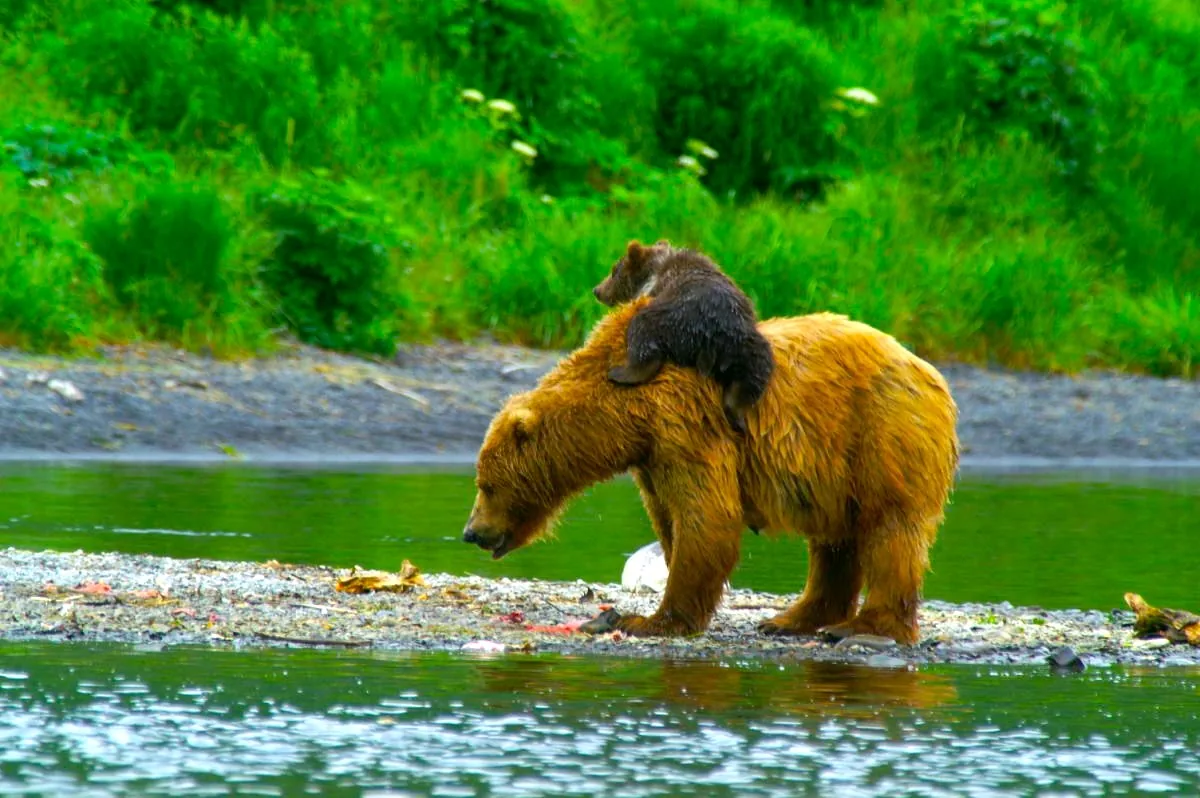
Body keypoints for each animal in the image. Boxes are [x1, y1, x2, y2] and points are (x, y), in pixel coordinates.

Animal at [462, 299, 959, 645]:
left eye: (486, 484)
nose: (471, 532)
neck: (625, 414)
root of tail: (929, 370)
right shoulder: (653, 457)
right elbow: (671, 521)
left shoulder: (686, 423)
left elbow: (707, 518)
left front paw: (650, 619)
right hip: (836, 468)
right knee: (836, 543)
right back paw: (791, 620)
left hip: (882, 433)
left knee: (890, 531)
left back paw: (863, 626)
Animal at [592, 240, 775, 435]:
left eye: (614, 271)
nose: (597, 290)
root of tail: (711, 336)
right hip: (746, 343)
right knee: (754, 373)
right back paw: (737, 416)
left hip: (669, 317)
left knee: (643, 335)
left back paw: (618, 373)